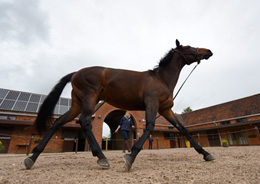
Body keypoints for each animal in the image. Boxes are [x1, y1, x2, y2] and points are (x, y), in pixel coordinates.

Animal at [24, 40, 215, 171]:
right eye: (189, 47)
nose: (208, 51)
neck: (161, 79)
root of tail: (75, 73)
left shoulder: (165, 109)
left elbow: (183, 129)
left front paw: (206, 154)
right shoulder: (152, 104)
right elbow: (149, 127)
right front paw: (130, 158)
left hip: (77, 104)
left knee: (58, 122)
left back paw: (32, 157)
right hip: (89, 99)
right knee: (84, 122)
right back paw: (101, 157)